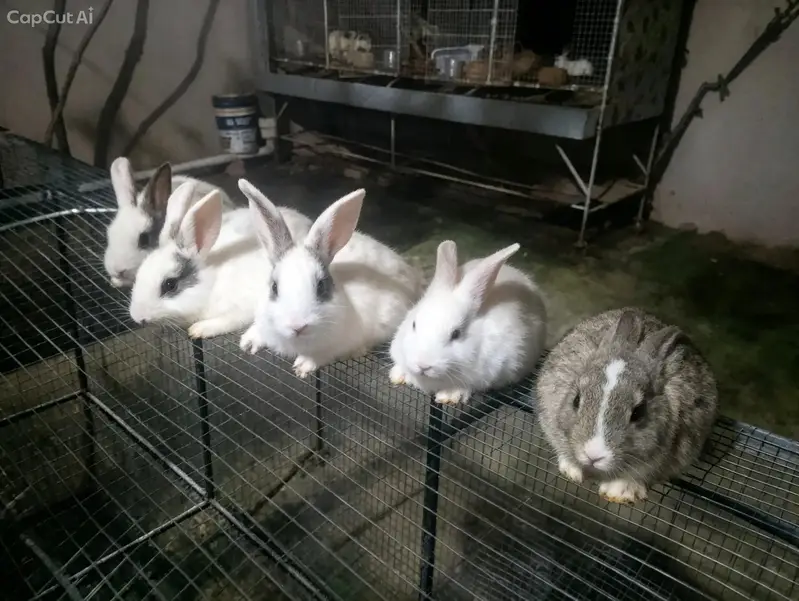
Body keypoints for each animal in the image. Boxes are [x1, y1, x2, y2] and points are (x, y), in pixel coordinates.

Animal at [128, 181, 312, 339]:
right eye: (138, 274)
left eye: (170, 284)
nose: (138, 318)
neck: (213, 282)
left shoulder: (241, 308)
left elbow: (227, 321)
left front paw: (198, 330)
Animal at [237, 179, 423, 378]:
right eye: (274, 287)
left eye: (321, 287)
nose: (298, 326)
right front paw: (247, 343)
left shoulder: (338, 345)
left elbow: (323, 355)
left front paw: (303, 366)